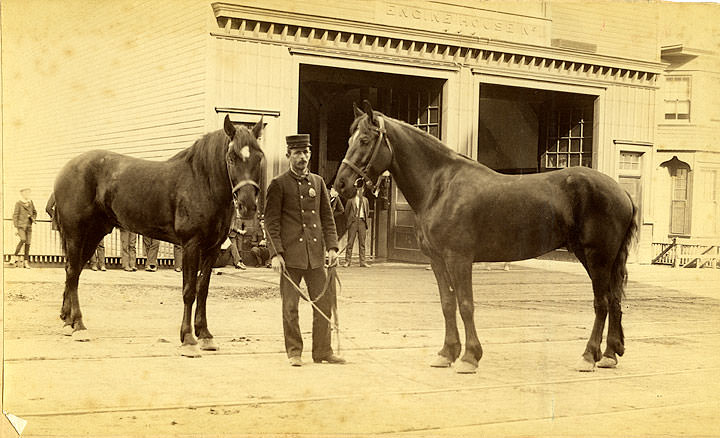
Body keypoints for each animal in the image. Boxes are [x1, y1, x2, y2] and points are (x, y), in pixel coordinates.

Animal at [53, 115, 266, 356]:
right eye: (231, 157)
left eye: (259, 157)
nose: (248, 206)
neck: (201, 182)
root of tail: (67, 169)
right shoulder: (191, 245)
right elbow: (189, 291)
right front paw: (188, 339)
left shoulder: (211, 249)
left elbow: (202, 290)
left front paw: (205, 335)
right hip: (76, 234)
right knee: (72, 273)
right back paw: (79, 325)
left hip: (93, 234)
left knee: (74, 272)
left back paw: (68, 321)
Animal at [336, 102, 636, 372]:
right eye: (349, 139)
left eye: (364, 139)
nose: (341, 184)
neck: (441, 186)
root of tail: (621, 191)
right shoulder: (437, 261)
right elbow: (447, 304)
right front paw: (446, 353)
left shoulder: (459, 259)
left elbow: (466, 304)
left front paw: (470, 357)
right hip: (595, 258)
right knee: (614, 300)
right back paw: (610, 354)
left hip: (597, 258)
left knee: (602, 303)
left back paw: (588, 356)